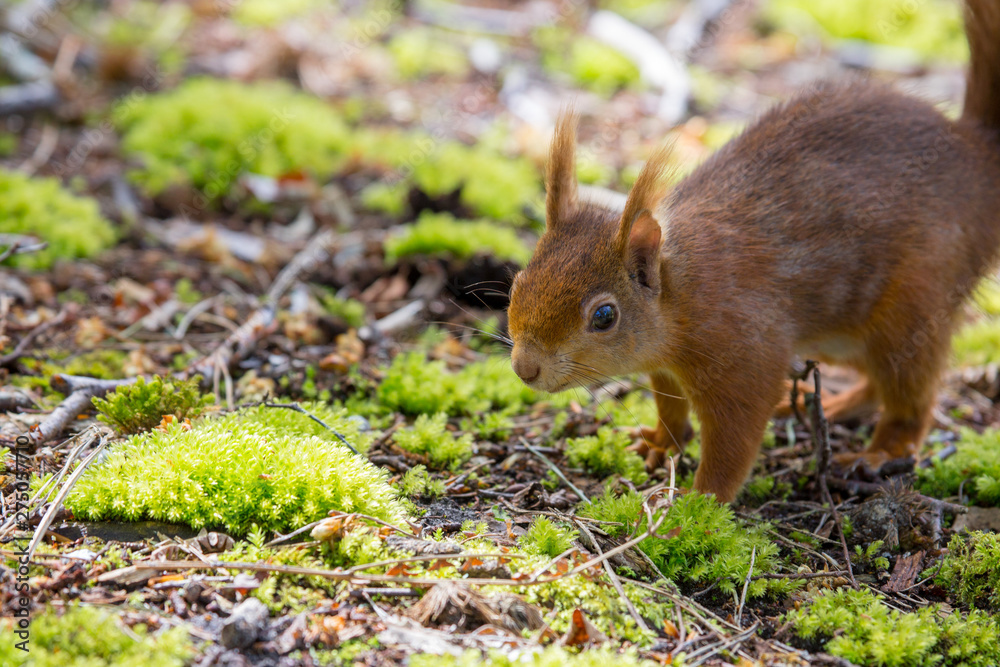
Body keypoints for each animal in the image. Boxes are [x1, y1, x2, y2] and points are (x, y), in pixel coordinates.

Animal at [506, 0, 1000, 503]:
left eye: (604, 317)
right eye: (516, 284)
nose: (525, 368)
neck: (681, 297)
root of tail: (979, 162)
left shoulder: (745, 353)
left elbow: (733, 442)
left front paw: (696, 505)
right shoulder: (665, 367)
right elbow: (670, 408)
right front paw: (662, 444)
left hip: (912, 307)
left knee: (910, 396)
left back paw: (879, 452)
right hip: (842, 335)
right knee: (872, 382)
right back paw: (830, 403)